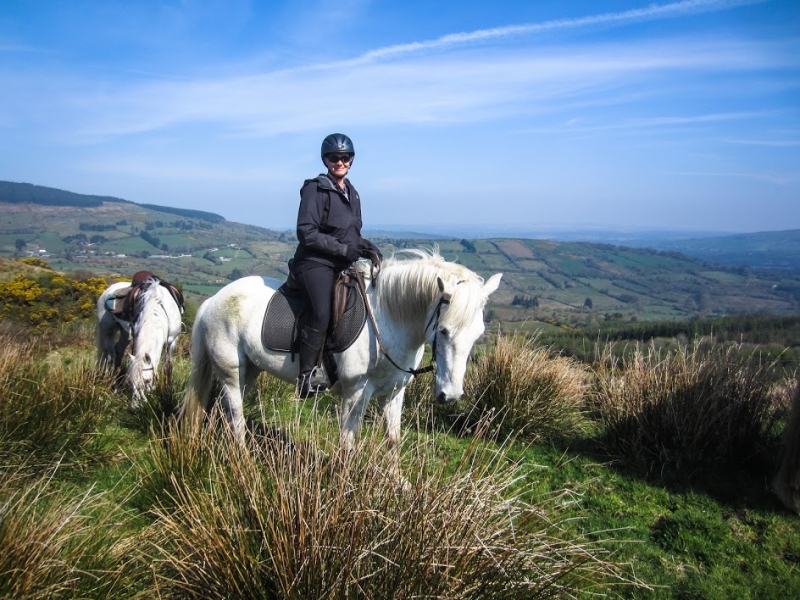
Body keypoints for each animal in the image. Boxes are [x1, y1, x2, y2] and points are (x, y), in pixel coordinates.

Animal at [96, 276, 184, 408]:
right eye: (131, 381)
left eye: (147, 380)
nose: (135, 407)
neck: (157, 305)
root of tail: (109, 289)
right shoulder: (137, 335)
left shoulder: (172, 341)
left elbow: (167, 367)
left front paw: (168, 390)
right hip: (108, 331)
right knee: (111, 356)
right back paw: (111, 383)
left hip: (126, 334)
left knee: (118, 352)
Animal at [184, 248, 504, 468]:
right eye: (444, 330)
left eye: (478, 334)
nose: (451, 395)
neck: (387, 319)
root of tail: (213, 300)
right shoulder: (355, 392)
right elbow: (349, 440)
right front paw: (347, 485)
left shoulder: (395, 392)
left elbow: (393, 439)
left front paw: (398, 484)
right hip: (231, 371)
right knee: (236, 414)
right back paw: (244, 461)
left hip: (248, 371)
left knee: (224, 410)